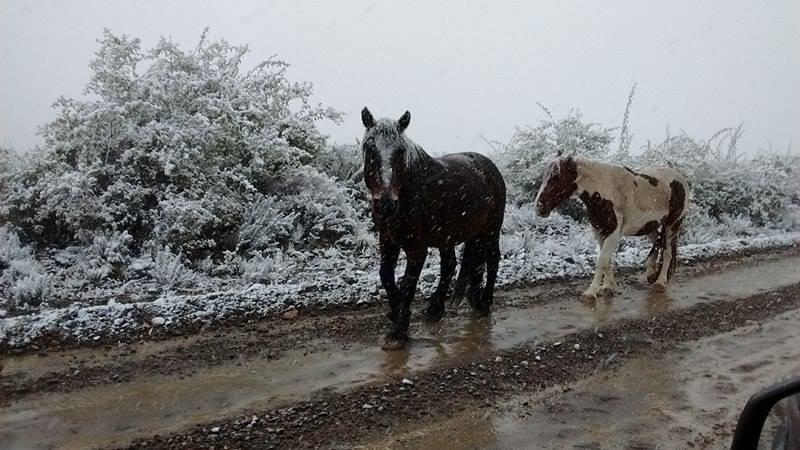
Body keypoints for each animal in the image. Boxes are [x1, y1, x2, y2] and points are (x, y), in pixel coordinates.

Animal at [362, 107, 506, 350]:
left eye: (401, 151)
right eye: (370, 148)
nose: (386, 204)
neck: (408, 193)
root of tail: (490, 167)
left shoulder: (416, 248)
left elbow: (408, 283)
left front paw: (398, 332)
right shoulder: (387, 239)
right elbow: (386, 275)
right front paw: (396, 312)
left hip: (490, 229)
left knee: (492, 258)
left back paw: (484, 302)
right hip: (451, 236)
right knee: (452, 266)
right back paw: (438, 308)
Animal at [536, 156, 688, 298]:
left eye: (556, 176)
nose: (539, 207)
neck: (604, 190)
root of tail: (680, 179)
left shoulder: (613, 232)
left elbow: (602, 261)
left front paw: (591, 292)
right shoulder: (599, 231)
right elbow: (607, 260)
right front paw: (608, 287)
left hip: (672, 225)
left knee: (667, 252)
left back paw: (660, 281)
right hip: (648, 226)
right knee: (657, 241)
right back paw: (651, 273)